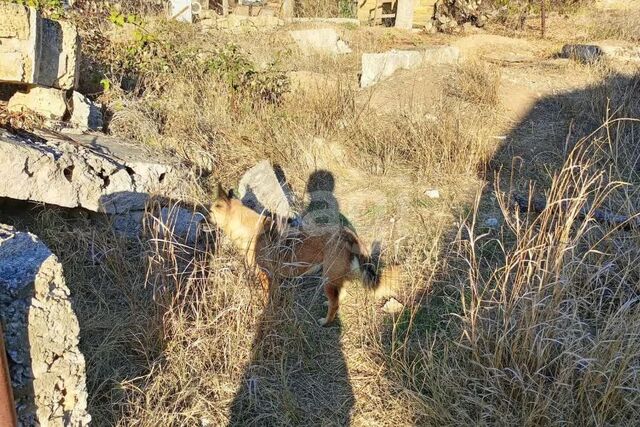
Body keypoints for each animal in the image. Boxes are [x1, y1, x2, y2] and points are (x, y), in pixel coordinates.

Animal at [209, 185, 396, 328]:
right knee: (340, 295)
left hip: (328, 278)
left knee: (335, 303)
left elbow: (266, 296)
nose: (202, 218)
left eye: (210, 212)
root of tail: (347, 233)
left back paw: (326, 322)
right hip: (334, 276)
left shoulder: (265, 275)